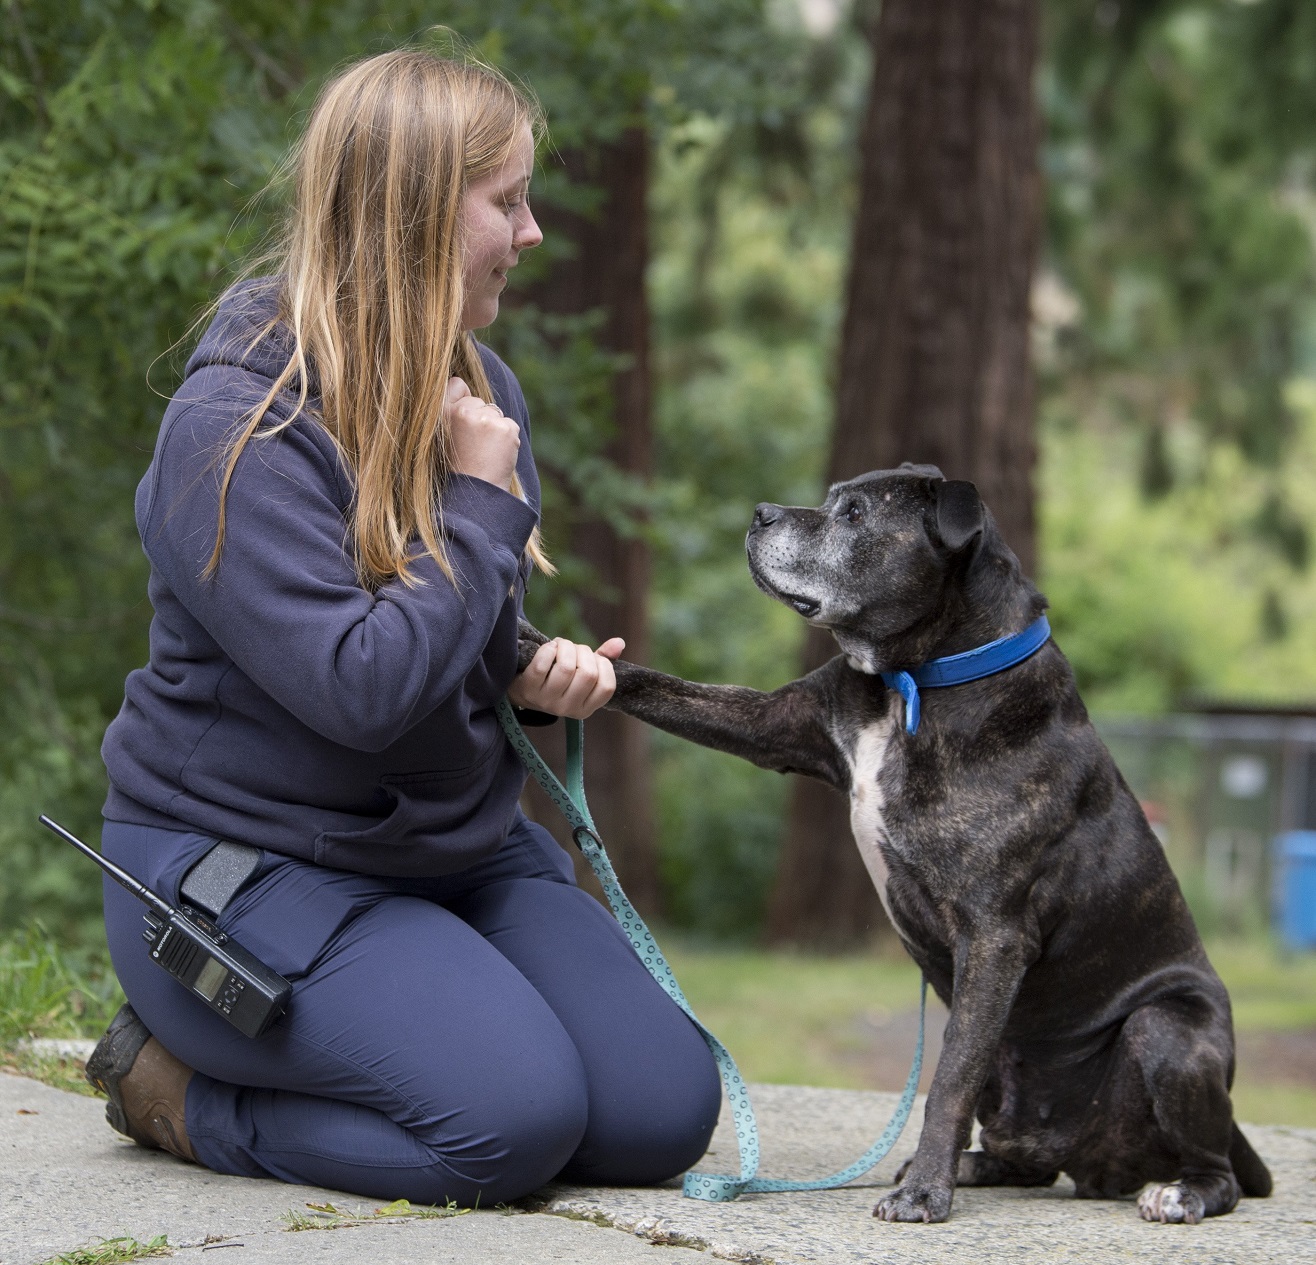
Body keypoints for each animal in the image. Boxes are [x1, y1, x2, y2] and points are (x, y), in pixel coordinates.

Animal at [518, 463, 1268, 1221]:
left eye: (854, 515)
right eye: (829, 500)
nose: (760, 513)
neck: (919, 677)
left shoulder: (995, 936)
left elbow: (951, 1078)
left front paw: (924, 1195)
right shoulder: (775, 723)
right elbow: (648, 681)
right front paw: (535, 647)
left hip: (1167, 1030)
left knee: (1217, 1169)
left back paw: (1178, 1192)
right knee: (1026, 1152)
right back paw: (982, 1164)